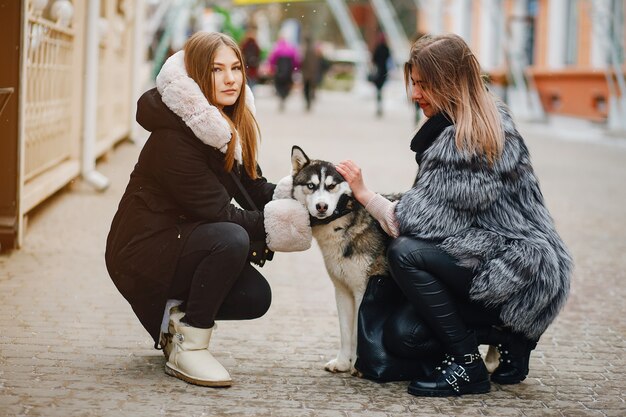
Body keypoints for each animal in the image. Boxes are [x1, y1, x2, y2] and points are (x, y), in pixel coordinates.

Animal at [286, 146, 394, 374]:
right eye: (311, 186)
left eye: (331, 186)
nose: (321, 206)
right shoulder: (342, 290)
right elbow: (345, 332)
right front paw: (343, 362)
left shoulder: (362, 290)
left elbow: (356, 331)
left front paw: (358, 366)